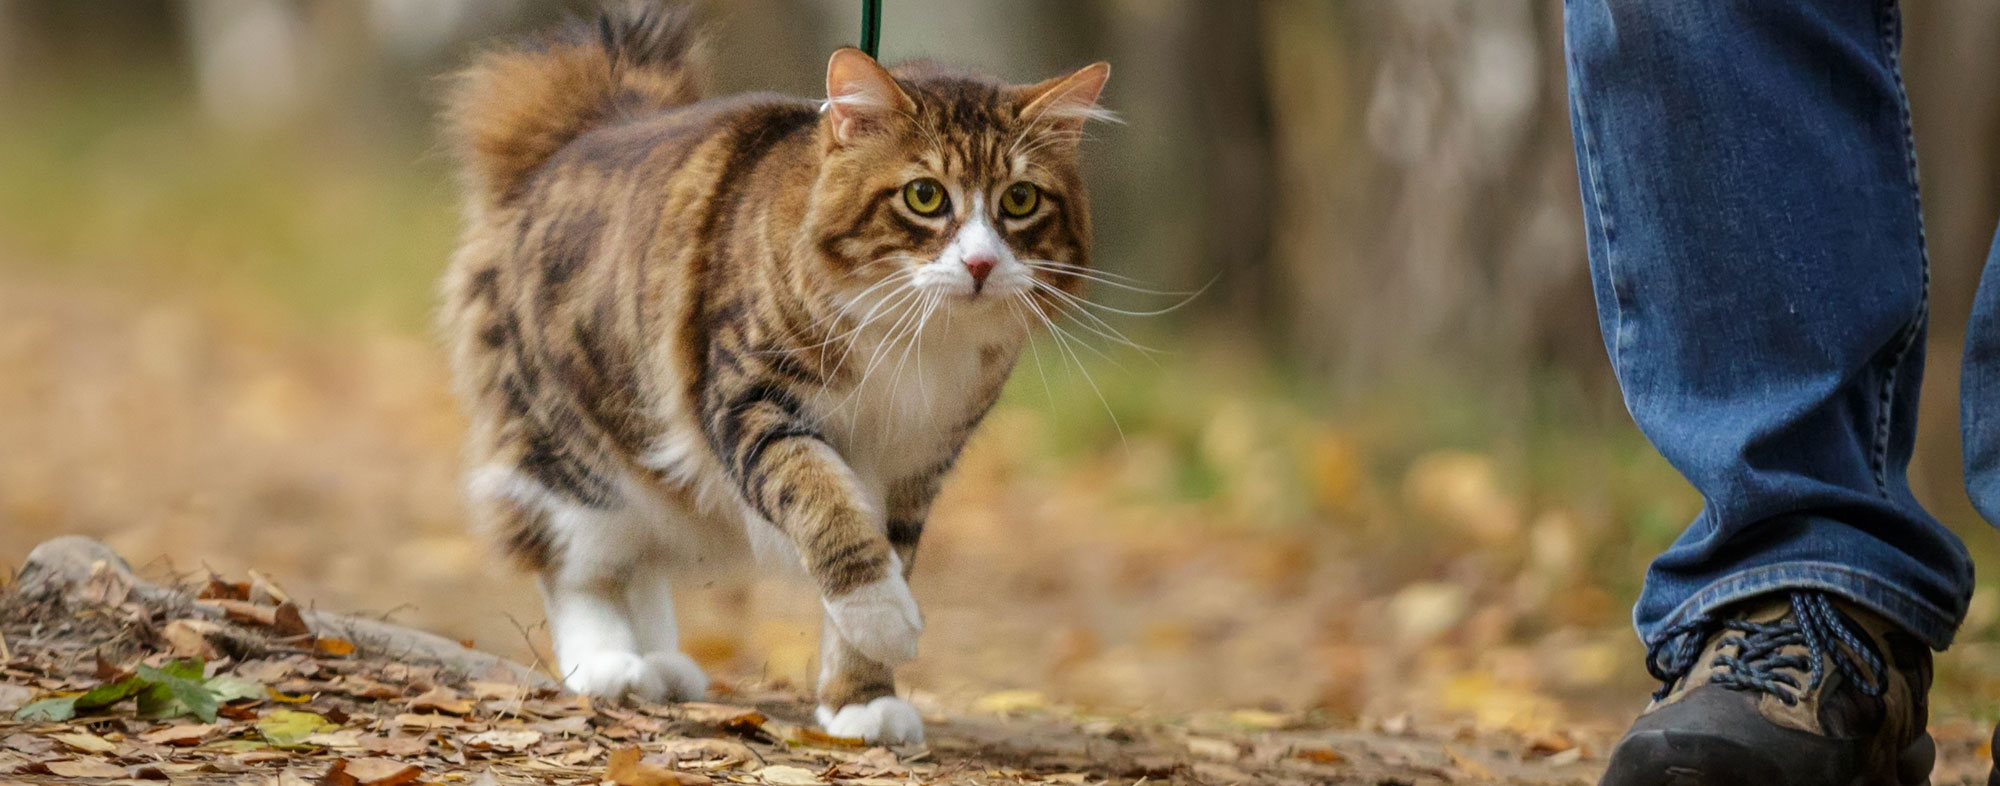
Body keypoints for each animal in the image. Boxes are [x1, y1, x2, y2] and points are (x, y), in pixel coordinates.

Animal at [440, 4, 1120, 740]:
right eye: (925, 196)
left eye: (1020, 201)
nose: (981, 264)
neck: (915, 339)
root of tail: (587, 128)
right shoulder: (752, 404)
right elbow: (830, 511)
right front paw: (886, 623)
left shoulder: (915, 464)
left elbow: (884, 551)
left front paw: (860, 701)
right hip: (576, 449)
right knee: (580, 564)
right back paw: (612, 666)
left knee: (636, 566)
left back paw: (663, 663)